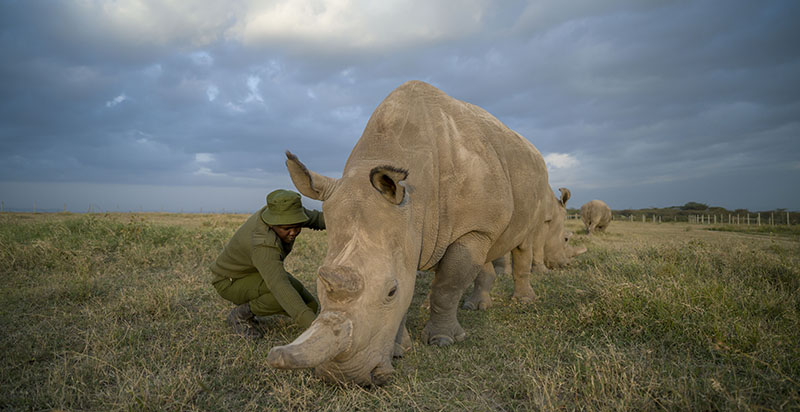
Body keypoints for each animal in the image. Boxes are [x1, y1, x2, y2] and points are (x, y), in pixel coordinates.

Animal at [268, 81, 580, 386]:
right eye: (319, 282)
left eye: (390, 291)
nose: (343, 378)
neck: (415, 202)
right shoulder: (408, 230)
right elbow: (419, 287)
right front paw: (399, 349)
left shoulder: (471, 228)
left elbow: (448, 285)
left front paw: (442, 341)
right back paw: (475, 307)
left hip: (534, 187)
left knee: (523, 242)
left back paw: (523, 301)